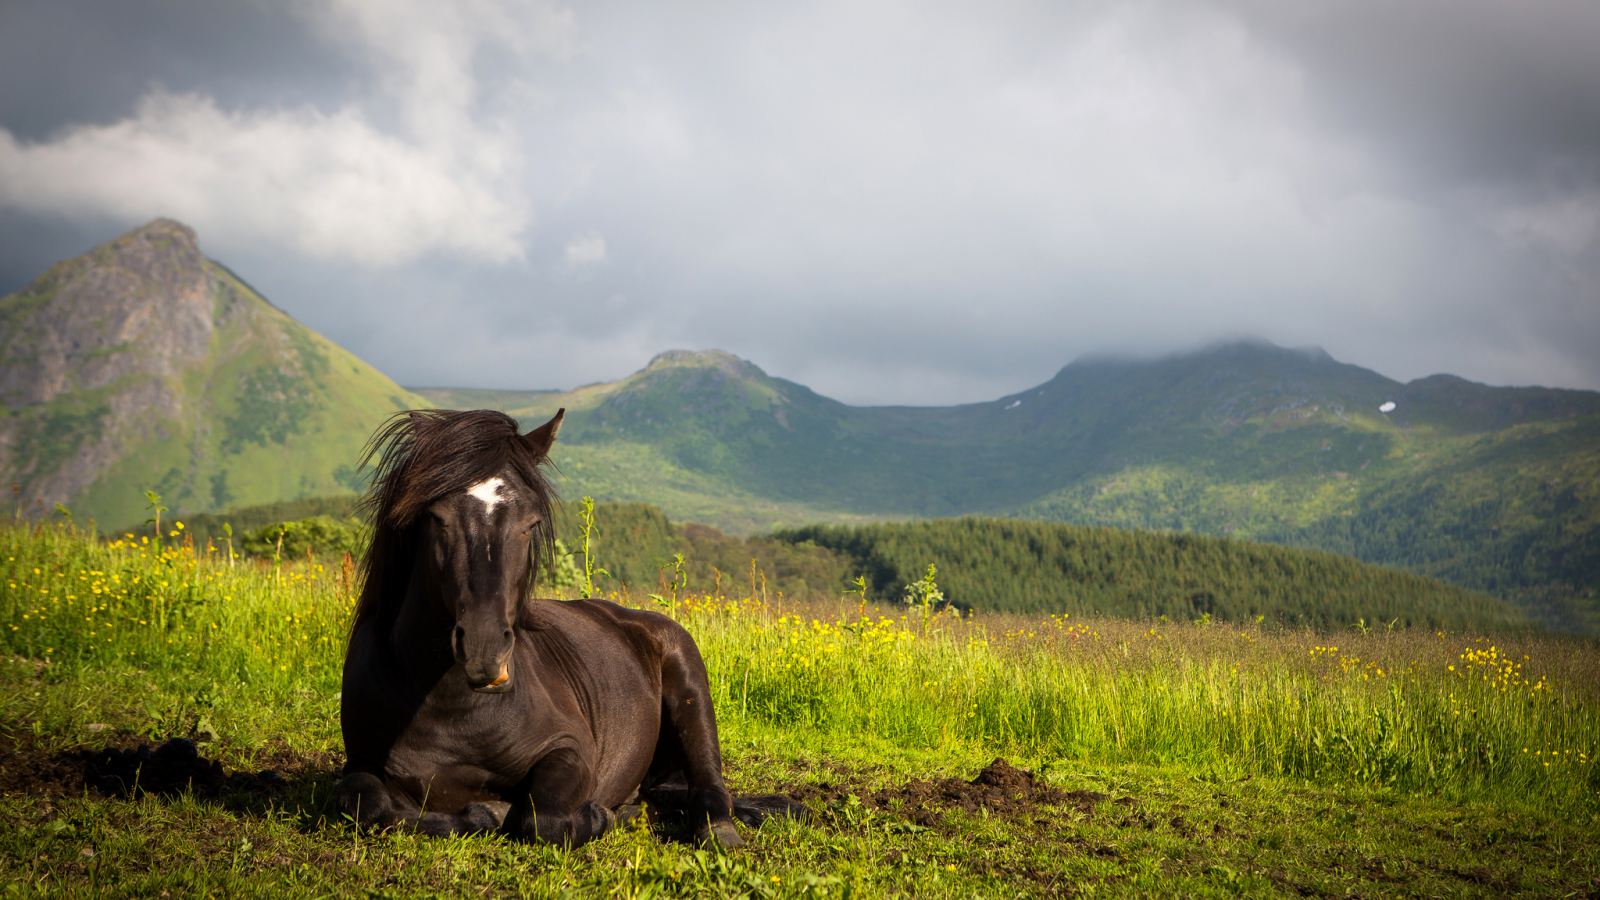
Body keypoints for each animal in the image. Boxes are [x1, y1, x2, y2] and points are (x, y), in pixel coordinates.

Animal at [334, 409, 796, 845]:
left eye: (532, 523)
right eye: (436, 517)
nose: (485, 650)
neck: (449, 707)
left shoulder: (569, 749)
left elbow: (544, 818)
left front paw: (587, 815)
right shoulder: (361, 761)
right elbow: (367, 805)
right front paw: (483, 813)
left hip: (691, 693)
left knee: (710, 788)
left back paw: (710, 829)